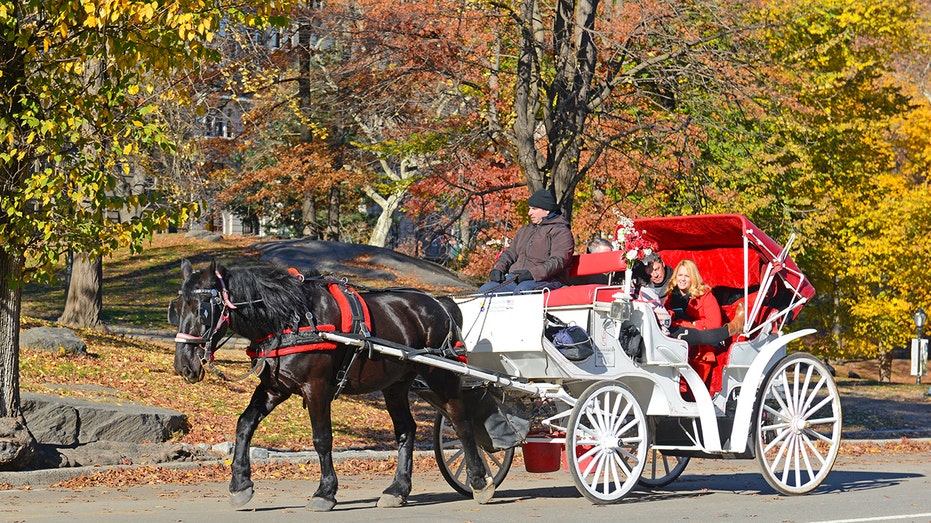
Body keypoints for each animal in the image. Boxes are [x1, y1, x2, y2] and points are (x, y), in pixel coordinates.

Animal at [173, 260, 496, 512]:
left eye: (203, 309)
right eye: (175, 309)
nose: (183, 365)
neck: (291, 319)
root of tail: (440, 303)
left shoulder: (316, 388)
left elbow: (322, 438)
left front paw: (325, 492)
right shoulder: (275, 387)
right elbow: (244, 425)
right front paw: (240, 484)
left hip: (440, 375)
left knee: (460, 420)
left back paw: (479, 481)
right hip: (395, 384)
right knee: (407, 429)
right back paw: (397, 489)